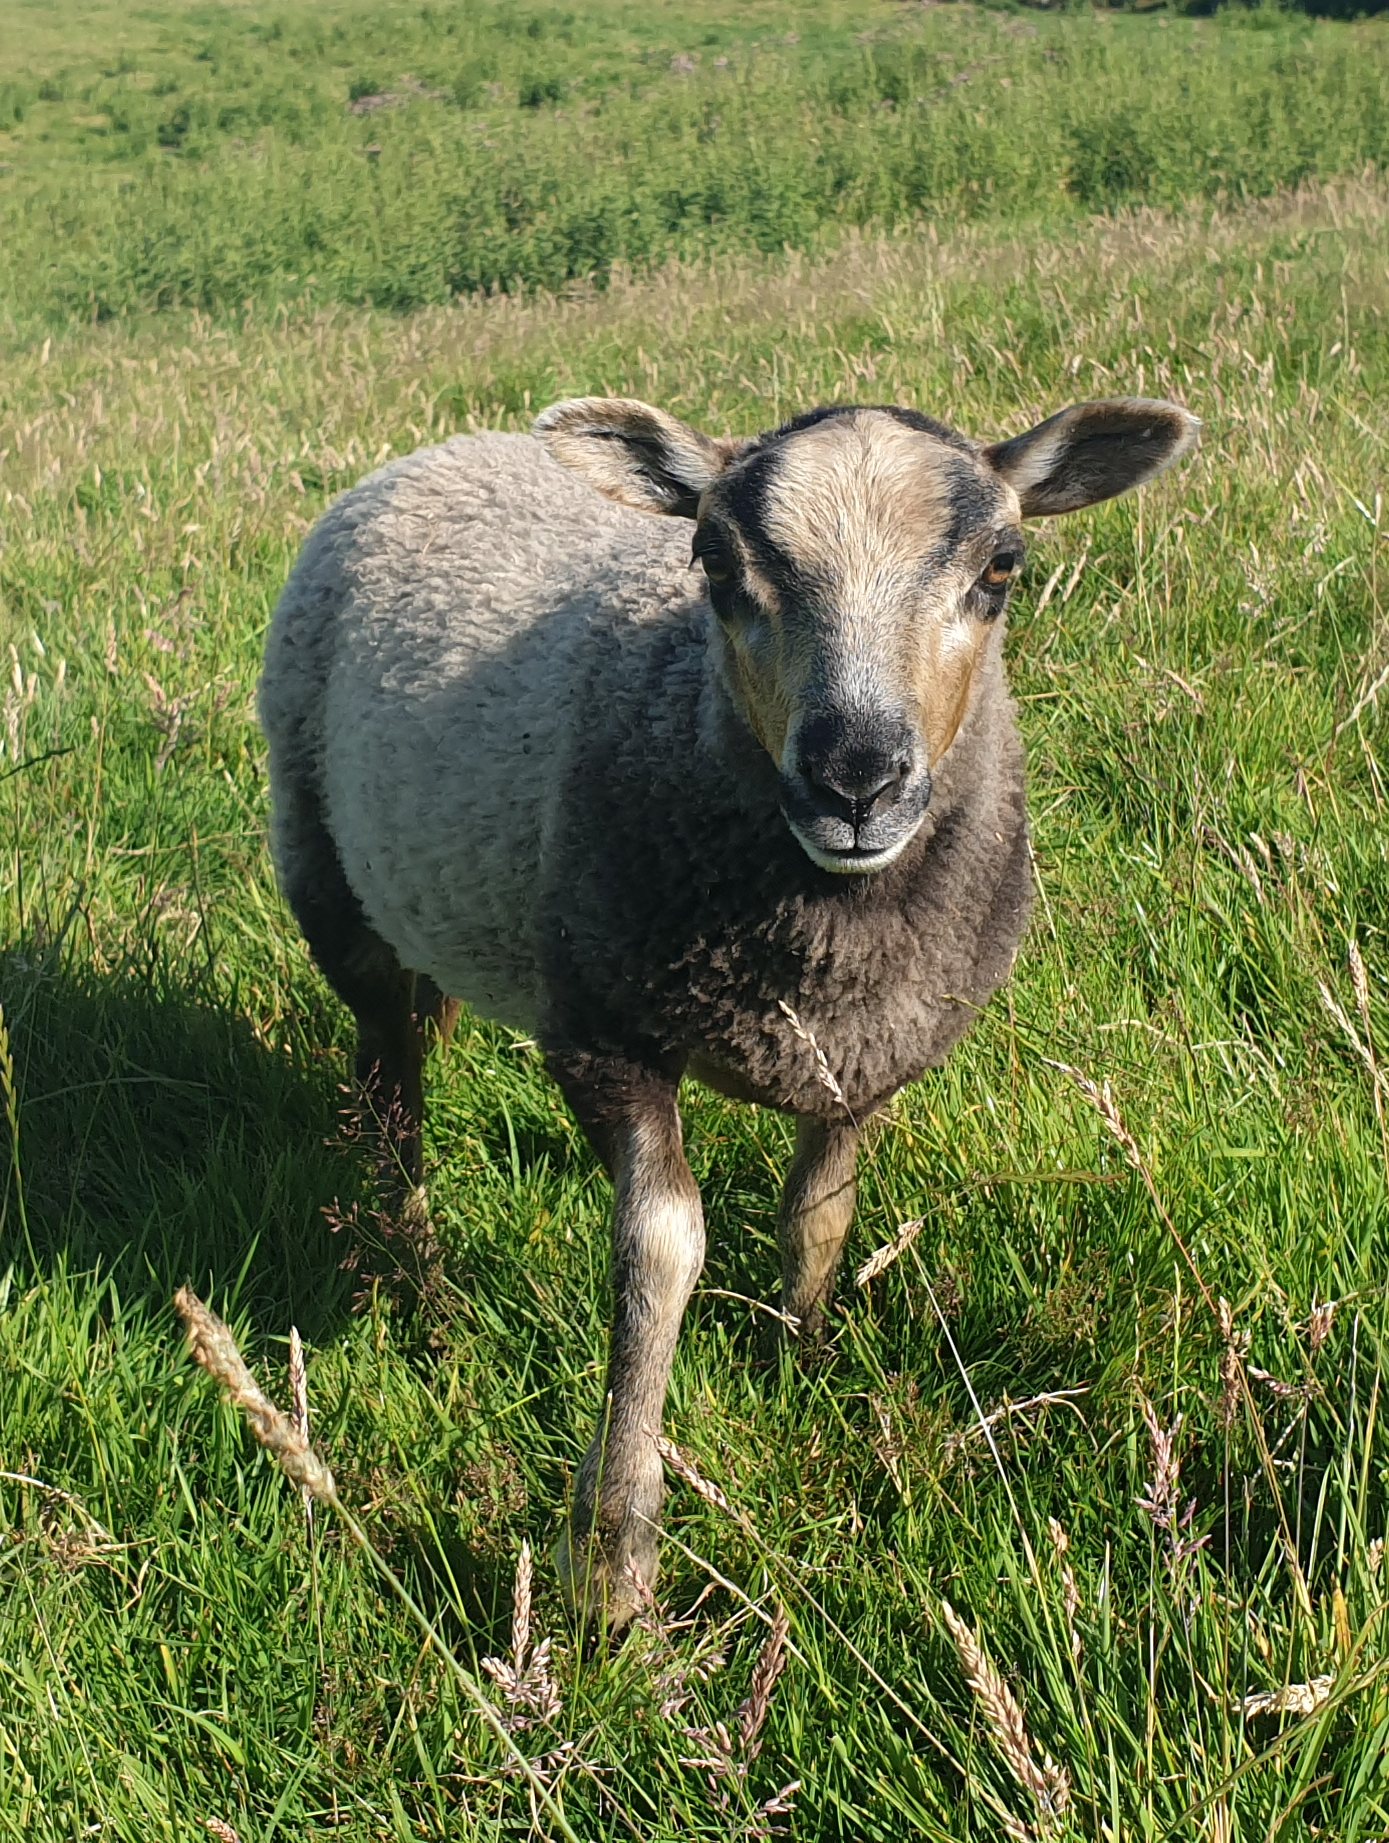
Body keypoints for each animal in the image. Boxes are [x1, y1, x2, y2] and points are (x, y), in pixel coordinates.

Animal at [258, 392, 1198, 1626]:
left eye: (1003, 566)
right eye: (712, 561)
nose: (856, 778)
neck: (824, 928)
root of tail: (450, 443)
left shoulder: (867, 1055)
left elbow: (821, 1215)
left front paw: (803, 1357)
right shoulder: (604, 1029)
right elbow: (660, 1252)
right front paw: (612, 1562)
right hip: (326, 869)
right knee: (388, 1082)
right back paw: (419, 1281)